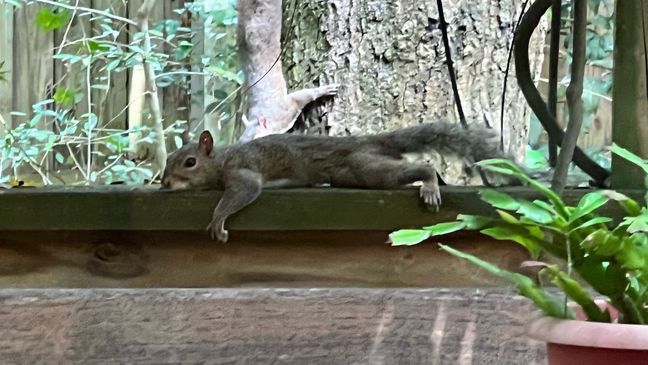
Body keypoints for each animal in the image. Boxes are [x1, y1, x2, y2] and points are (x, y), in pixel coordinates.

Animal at [162, 122, 512, 242]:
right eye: (167, 160)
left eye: (189, 162)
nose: (164, 183)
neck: (221, 160)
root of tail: (370, 141)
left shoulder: (243, 172)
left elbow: (245, 191)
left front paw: (218, 219)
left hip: (368, 168)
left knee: (421, 166)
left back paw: (428, 184)